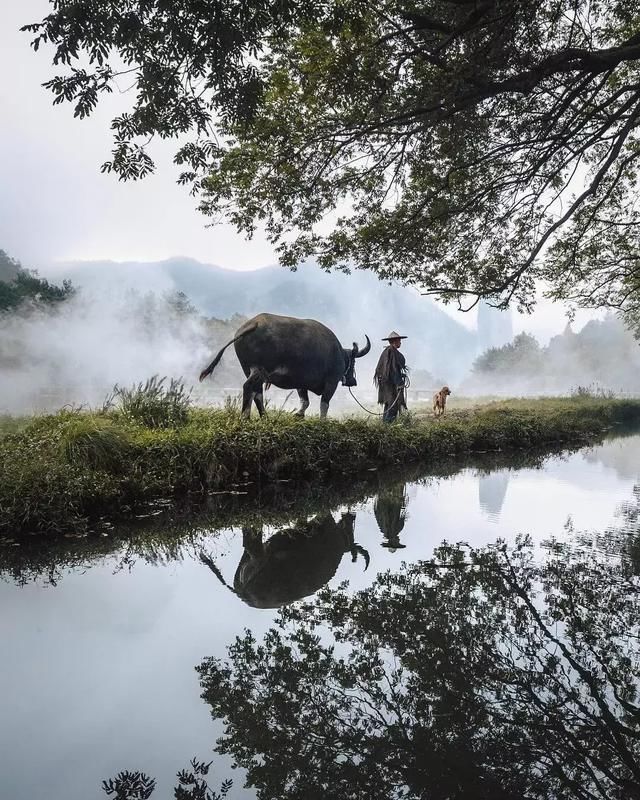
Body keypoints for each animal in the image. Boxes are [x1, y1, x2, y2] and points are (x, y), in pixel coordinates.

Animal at [199, 310, 370, 416]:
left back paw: (264, 417)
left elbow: (305, 402)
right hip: (259, 370)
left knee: (257, 393)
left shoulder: (301, 384)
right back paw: (246, 417)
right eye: (353, 362)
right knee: (249, 388)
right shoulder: (331, 382)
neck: (338, 352)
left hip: (250, 370)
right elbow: (324, 404)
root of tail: (254, 324)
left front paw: (299, 415)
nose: (353, 381)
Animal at [200, 512, 370, 608]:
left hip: (252, 558)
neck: (340, 541)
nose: (351, 516)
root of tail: (244, 595)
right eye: (349, 534)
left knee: (249, 541)